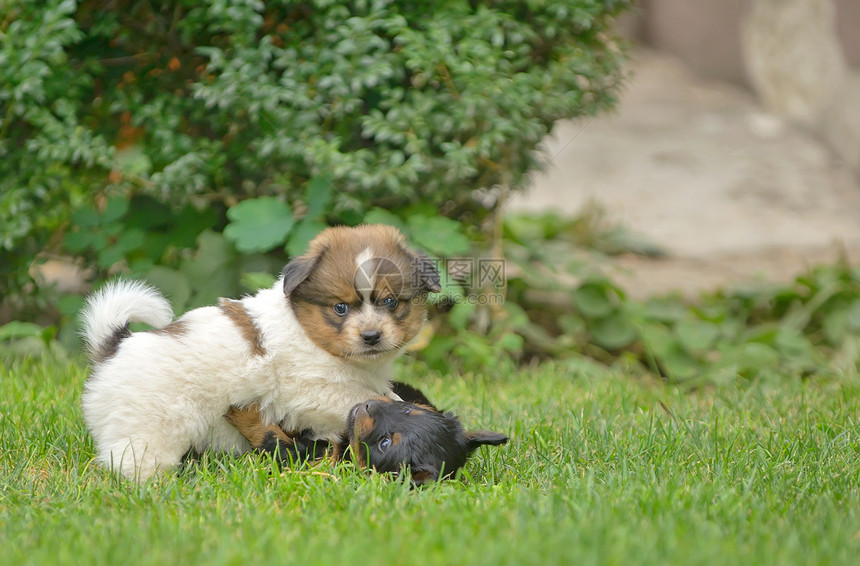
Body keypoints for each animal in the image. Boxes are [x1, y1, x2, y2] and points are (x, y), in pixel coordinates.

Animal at [80, 224, 440, 482]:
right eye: (340, 307)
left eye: (390, 302)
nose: (371, 336)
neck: (309, 333)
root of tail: (115, 347)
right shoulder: (311, 389)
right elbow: (359, 399)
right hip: (149, 428)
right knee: (134, 461)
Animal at [223, 384, 510, 486]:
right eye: (408, 410)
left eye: (385, 444)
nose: (369, 405)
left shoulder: (313, 464)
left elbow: (276, 442)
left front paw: (243, 411)